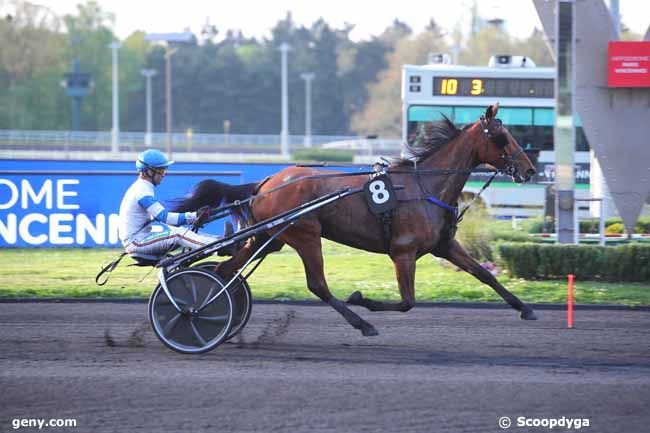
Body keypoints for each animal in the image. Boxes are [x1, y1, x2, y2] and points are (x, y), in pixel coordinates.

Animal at [173, 104, 536, 334]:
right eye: (502, 137)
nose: (530, 170)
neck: (424, 187)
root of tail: (267, 182)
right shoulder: (403, 252)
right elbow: (408, 302)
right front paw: (362, 300)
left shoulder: (444, 246)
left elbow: (483, 274)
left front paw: (525, 308)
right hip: (305, 234)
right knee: (317, 285)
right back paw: (362, 324)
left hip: (270, 237)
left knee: (226, 271)